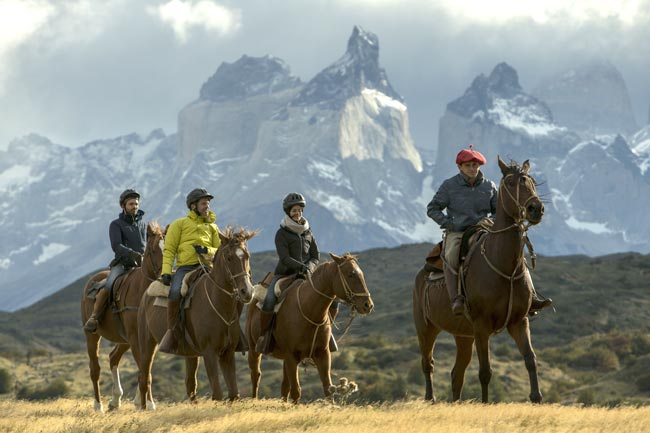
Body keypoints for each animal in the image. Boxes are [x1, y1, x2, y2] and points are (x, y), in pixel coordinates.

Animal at [79, 223, 165, 412]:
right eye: (153, 250)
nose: (165, 276)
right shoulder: (134, 338)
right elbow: (143, 370)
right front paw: (148, 404)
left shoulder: (149, 340)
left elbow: (145, 369)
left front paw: (143, 402)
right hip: (92, 336)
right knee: (95, 369)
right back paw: (98, 405)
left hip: (123, 340)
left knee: (113, 357)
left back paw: (115, 399)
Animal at [137, 226, 256, 408]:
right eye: (229, 258)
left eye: (247, 255)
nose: (247, 291)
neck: (218, 303)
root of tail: (146, 294)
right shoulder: (209, 352)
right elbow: (218, 394)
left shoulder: (228, 353)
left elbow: (233, 394)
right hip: (147, 345)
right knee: (145, 379)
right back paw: (146, 408)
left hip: (190, 354)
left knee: (190, 384)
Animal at [244, 251, 374, 404]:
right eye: (350, 274)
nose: (368, 305)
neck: (309, 310)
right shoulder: (291, 356)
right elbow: (296, 392)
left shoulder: (323, 354)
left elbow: (328, 389)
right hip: (254, 350)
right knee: (256, 375)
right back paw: (254, 399)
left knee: (284, 386)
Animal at [412, 155, 544, 402]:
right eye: (510, 183)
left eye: (532, 181)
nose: (536, 209)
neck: (502, 265)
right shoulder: (482, 327)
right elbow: (485, 371)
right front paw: (485, 403)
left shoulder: (519, 321)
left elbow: (530, 360)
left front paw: (537, 398)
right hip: (425, 328)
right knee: (428, 364)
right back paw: (430, 399)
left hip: (463, 335)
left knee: (457, 373)